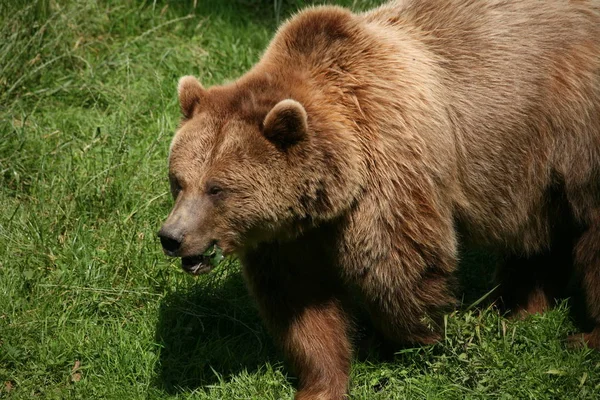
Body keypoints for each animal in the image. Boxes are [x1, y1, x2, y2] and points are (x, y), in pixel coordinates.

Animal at [159, 0, 600, 398]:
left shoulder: (388, 170)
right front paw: (320, 383)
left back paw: (578, 335)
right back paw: (519, 308)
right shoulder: (288, 233)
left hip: (569, 134)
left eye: (217, 188)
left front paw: (413, 340)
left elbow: (397, 268)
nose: (171, 237)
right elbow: (300, 302)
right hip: (533, 175)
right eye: (178, 181)